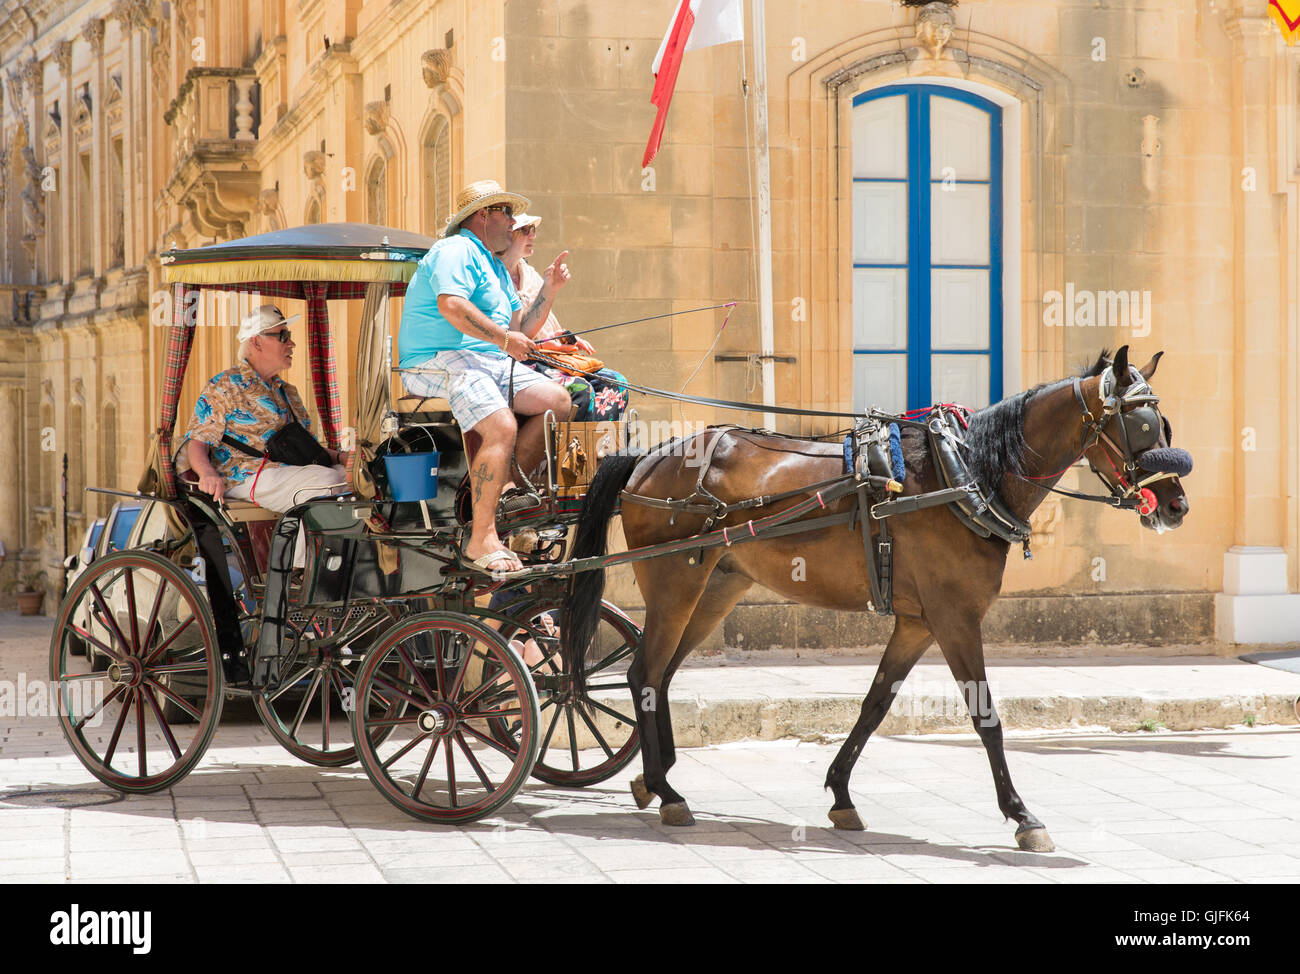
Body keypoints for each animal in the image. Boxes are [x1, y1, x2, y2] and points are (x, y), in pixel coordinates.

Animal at [561, 346, 1191, 852]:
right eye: (1140, 425)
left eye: (1162, 421)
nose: (1177, 506)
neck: (965, 475)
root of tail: (649, 457)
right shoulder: (954, 618)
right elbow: (986, 716)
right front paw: (1022, 816)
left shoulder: (917, 623)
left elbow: (874, 705)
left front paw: (841, 794)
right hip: (675, 584)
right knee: (643, 672)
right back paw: (666, 790)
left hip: (714, 588)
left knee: (661, 676)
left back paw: (653, 779)